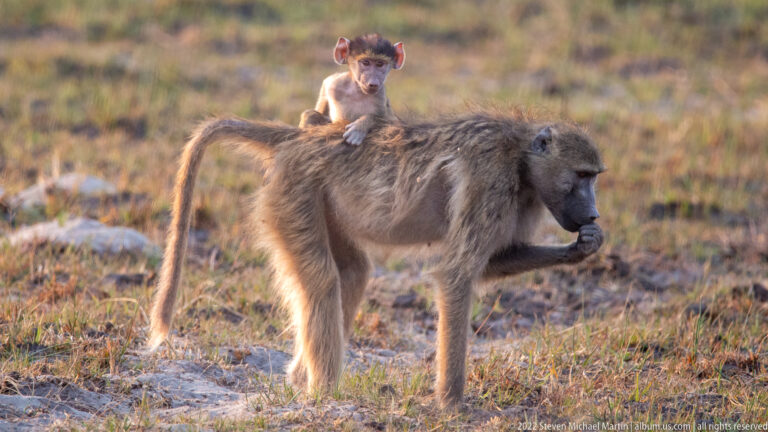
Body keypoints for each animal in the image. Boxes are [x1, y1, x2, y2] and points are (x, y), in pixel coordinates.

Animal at [148, 112, 605, 409]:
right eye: (582, 176)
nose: (593, 215)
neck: (521, 157)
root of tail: (300, 139)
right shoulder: (490, 182)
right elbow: (456, 274)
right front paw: (452, 403)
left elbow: (493, 262)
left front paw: (583, 247)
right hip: (294, 191)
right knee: (322, 281)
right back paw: (324, 396)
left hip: (319, 200)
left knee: (352, 274)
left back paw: (300, 380)